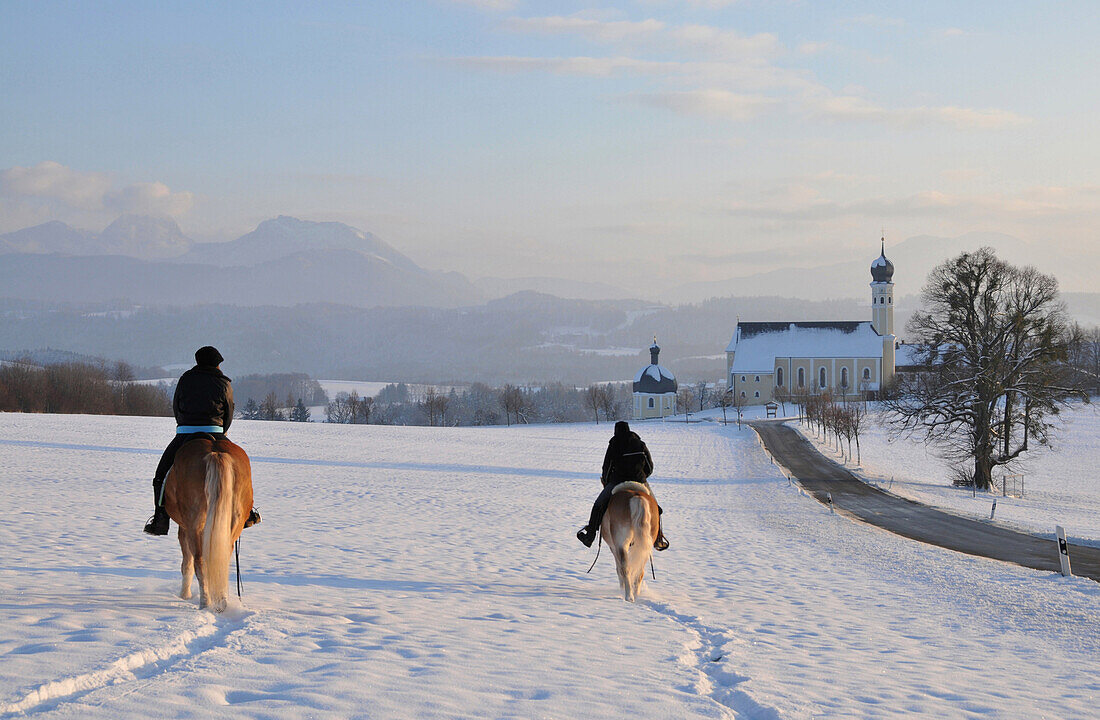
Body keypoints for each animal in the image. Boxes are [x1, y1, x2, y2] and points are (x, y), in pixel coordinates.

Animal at [161, 437, 251, 611]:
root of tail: (215, 452)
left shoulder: (184, 529)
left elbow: (187, 564)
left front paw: (185, 595)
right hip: (233, 523)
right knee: (222, 560)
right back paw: (221, 602)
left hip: (193, 524)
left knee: (199, 561)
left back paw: (205, 603)